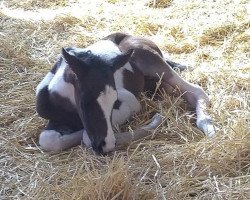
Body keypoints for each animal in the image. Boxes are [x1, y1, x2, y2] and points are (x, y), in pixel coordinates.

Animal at [35, 32, 215, 155]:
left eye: (114, 101)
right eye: (85, 102)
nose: (104, 146)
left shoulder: (130, 101)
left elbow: (86, 136)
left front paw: (156, 120)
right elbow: (48, 140)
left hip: (151, 60)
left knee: (196, 90)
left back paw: (208, 126)